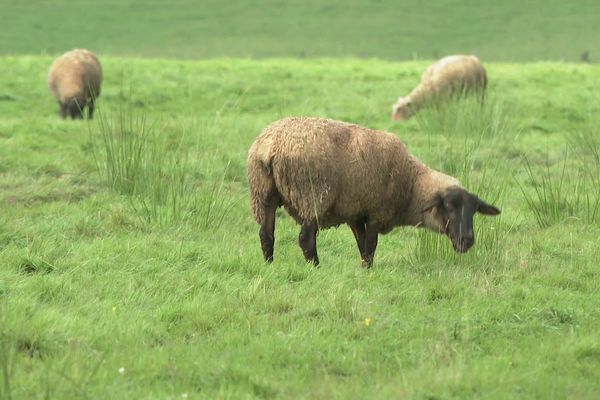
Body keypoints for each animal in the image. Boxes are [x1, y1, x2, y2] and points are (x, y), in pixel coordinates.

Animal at [246, 115, 500, 266]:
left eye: (474, 210)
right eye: (448, 207)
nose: (467, 240)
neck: (412, 185)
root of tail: (270, 146)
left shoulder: (356, 214)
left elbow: (362, 247)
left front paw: (364, 270)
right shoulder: (377, 212)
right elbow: (370, 249)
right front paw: (368, 272)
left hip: (263, 194)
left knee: (266, 234)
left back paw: (269, 265)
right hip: (313, 195)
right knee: (306, 238)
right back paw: (315, 267)